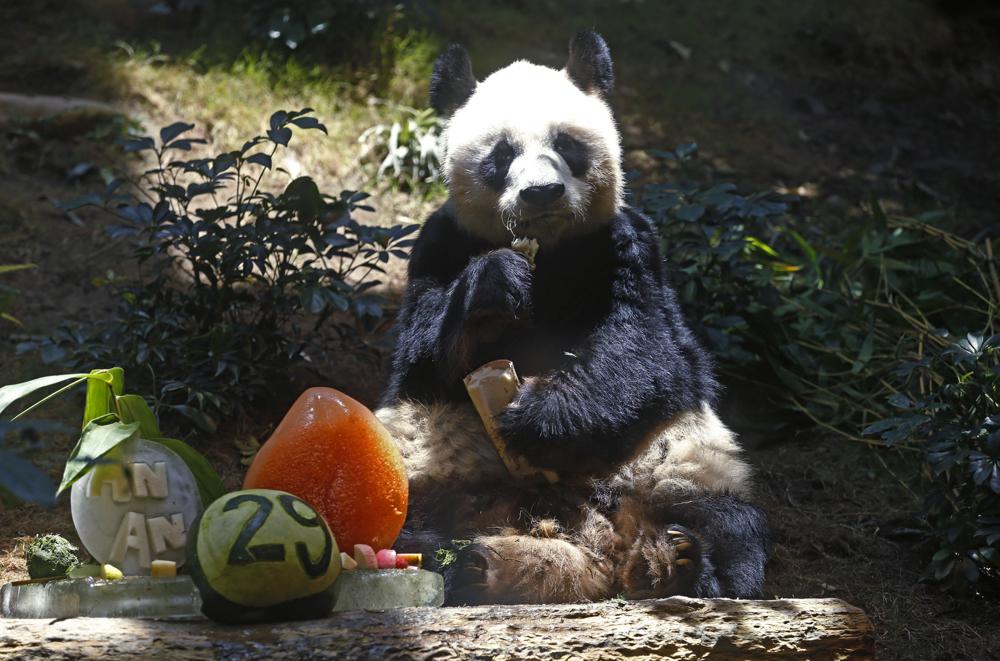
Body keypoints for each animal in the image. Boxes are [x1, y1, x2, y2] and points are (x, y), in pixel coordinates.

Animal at [374, 31, 764, 604]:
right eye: (502, 154)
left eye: (566, 146)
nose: (542, 192)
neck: (551, 251)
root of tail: (598, 547)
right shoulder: (437, 244)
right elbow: (422, 355)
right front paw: (496, 284)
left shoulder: (627, 246)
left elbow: (646, 350)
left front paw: (537, 417)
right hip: (420, 465)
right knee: (400, 525)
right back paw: (472, 563)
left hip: (685, 460)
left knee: (730, 527)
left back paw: (683, 563)